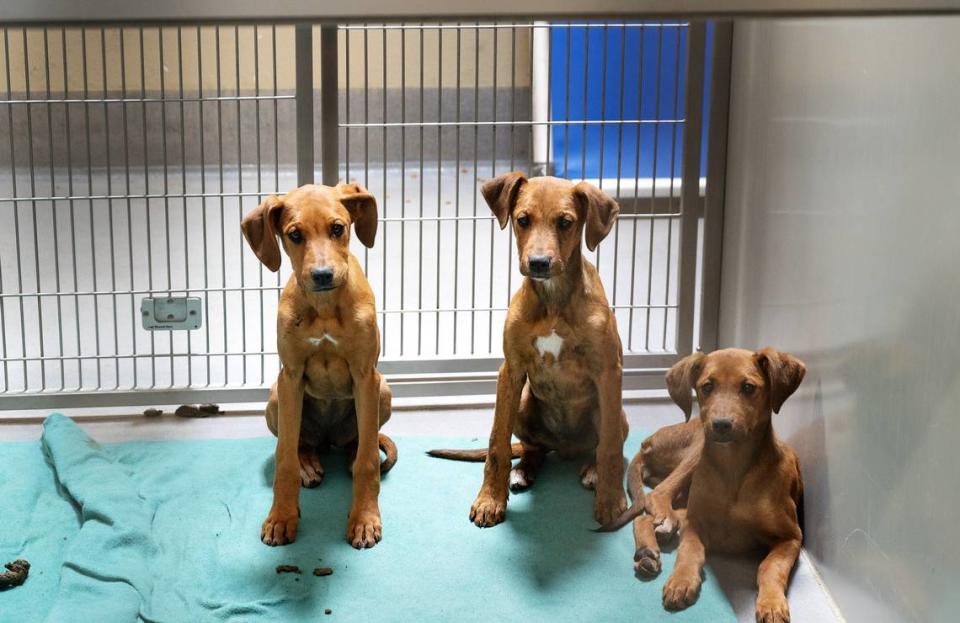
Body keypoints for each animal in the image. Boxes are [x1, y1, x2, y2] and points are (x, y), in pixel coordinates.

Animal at [242, 184, 396, 552]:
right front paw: (281, 517)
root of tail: (328, 440)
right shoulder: (291, 376)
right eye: (294, 235)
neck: (324, 307)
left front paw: (364, 519)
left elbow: (368, 462)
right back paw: (307, 464)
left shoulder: (365, 376)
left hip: (382, 390)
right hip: (276, 397)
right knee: (301, 442)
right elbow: (283, 458)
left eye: (338, 228)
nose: (323, 275)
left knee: (361, 441)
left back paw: (350, 453)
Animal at [430, 174, 632, 528]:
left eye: (565, 222)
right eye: (522, 220)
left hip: (614, 411)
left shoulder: (608, 372)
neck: (552, 302)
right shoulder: (511, 371)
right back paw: (521, 471)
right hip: (525, 402)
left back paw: (592, 471)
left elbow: (609, 445)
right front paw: (490, 500)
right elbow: (497, 441)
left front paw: (610, 502)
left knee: (607, 445)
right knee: (530, 448)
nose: (538, 263)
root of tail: (565, 448)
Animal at [604, 348, 808, 623]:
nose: (721, 424)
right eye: (707, 386)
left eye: (748, 387)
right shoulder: (695, 522)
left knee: (647, 514)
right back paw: (655, 539)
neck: (734, 471)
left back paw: (652, 543)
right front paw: (681, 581)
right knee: (656, 497)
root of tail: (646, 442)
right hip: (697, 447)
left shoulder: (791, 537)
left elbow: (770, 566)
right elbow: (689, 551)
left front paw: (772, 604)